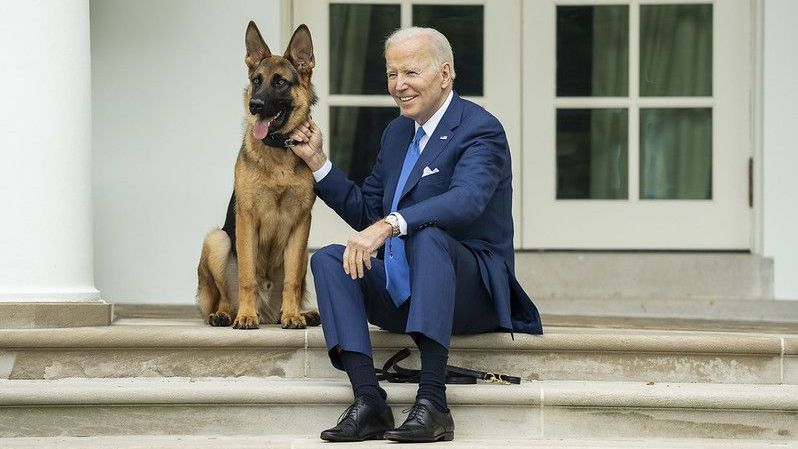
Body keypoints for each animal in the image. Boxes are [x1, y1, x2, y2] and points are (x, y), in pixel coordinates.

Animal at [198, 21, 322, 328]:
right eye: (256, 80)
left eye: (280, 82)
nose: (254, 105)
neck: (277, 150)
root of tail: (267, 311)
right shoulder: (246, 219)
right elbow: (246, 277)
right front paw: (245, 316)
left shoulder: (301, 223)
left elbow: (292, 282)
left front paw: (293, 316)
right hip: (217, 240)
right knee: (224, 296)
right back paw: (226, 314)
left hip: (305, 253)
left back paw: (298, 312)